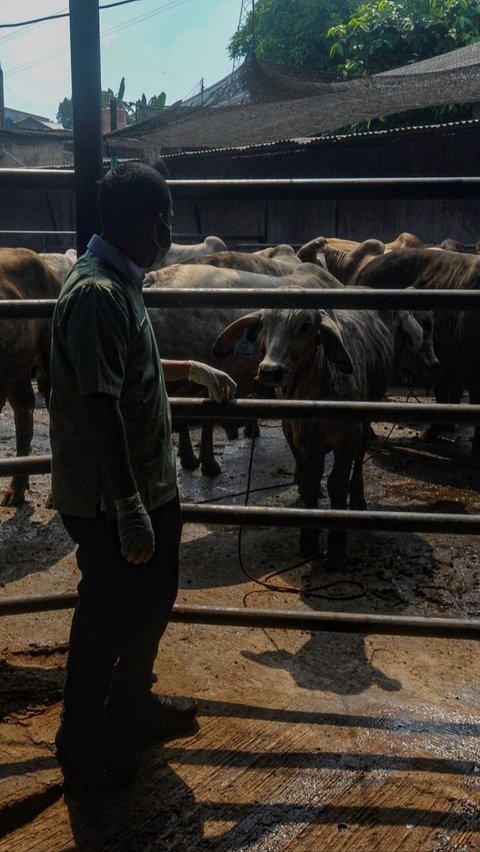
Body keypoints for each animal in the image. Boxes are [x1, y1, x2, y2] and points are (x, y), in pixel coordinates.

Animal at [213, 288, 436, 564]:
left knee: (359, 459)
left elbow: (337, 484)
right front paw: (308, 539)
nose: (270, 371)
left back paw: (358, 498)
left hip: (366, 418)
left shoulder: (348, 437)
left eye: (306, 326)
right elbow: (310, 481)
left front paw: (337, 546)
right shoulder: (301, 437)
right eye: (266, 323)